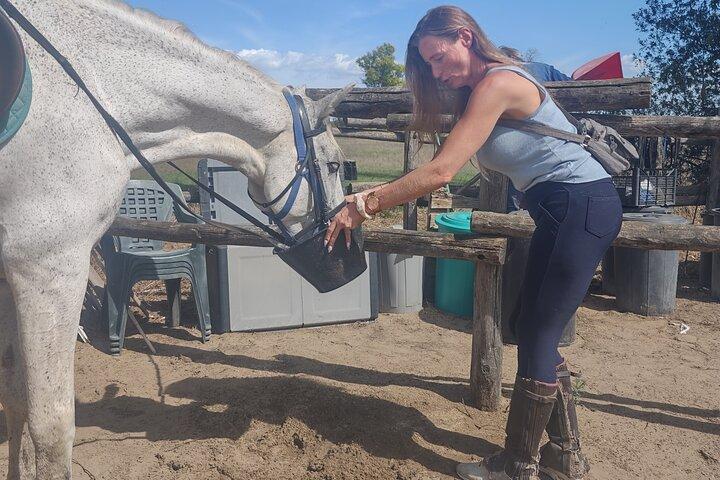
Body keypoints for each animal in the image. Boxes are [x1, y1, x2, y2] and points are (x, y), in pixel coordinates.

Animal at [0, 1, 351, 477]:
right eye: (332, 165)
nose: (346, 235)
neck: (90, 89)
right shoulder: (48, 268)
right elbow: (51, 427)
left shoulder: (10, 275)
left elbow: (14, 397)